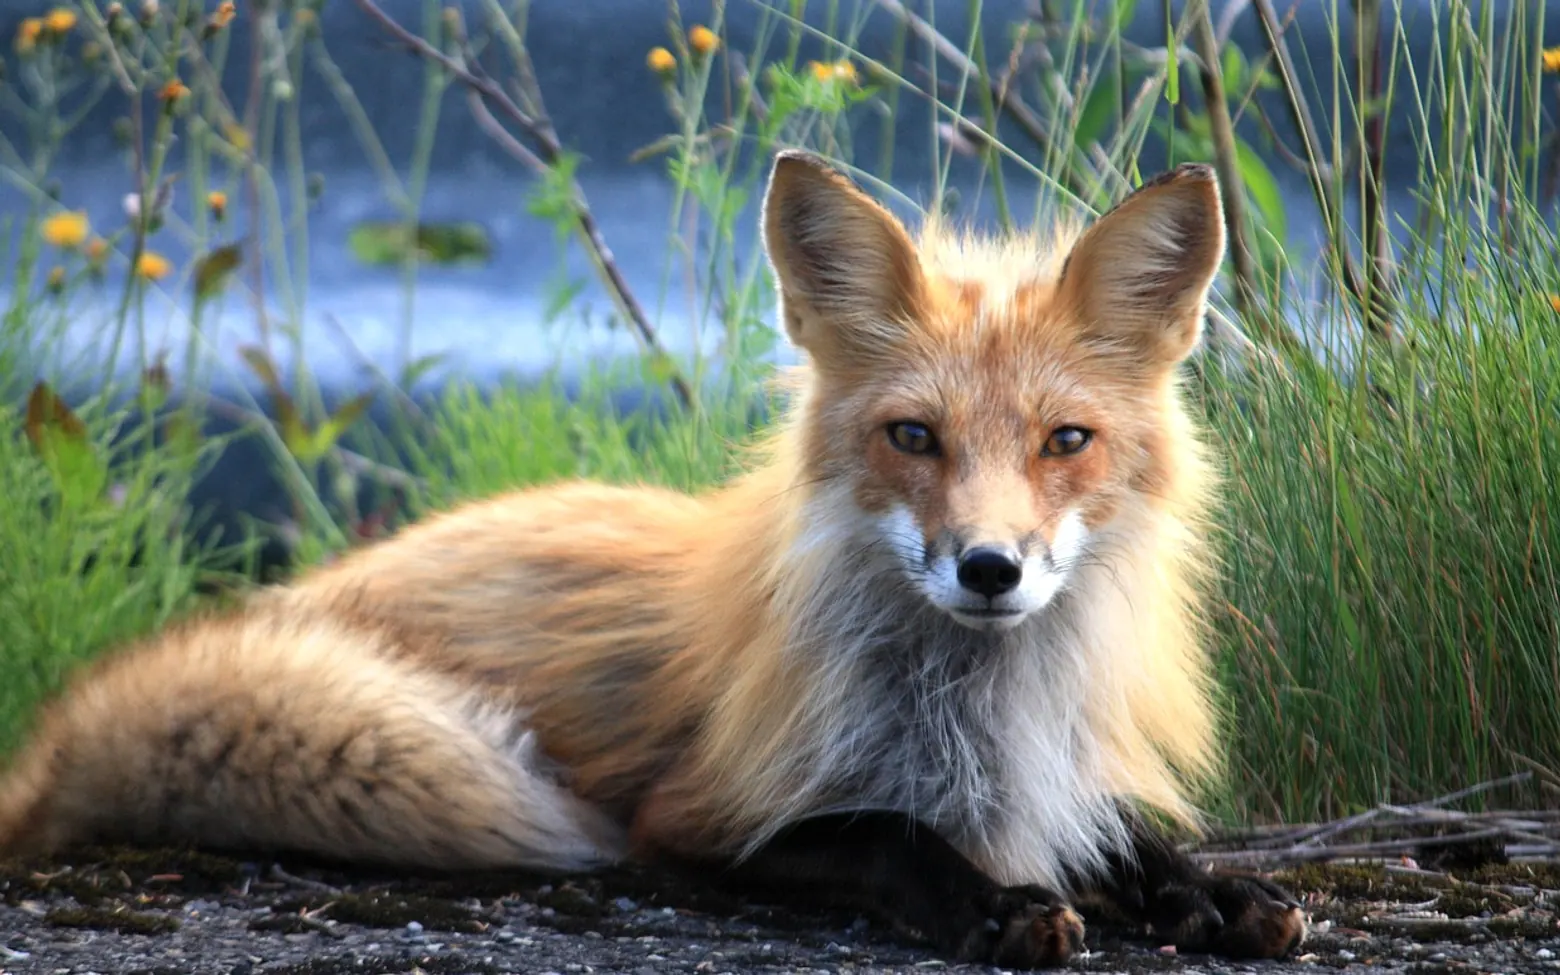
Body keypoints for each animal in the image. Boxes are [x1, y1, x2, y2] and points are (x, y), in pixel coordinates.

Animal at [0, 150, 1305, 968]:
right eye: (914, 438)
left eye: (1065, 441)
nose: (990, 570)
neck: (978, 712)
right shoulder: (700, 819)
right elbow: (888, 834)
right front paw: (1000, 906)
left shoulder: (1065, 770)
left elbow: (1130, 833)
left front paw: (1216, 891)